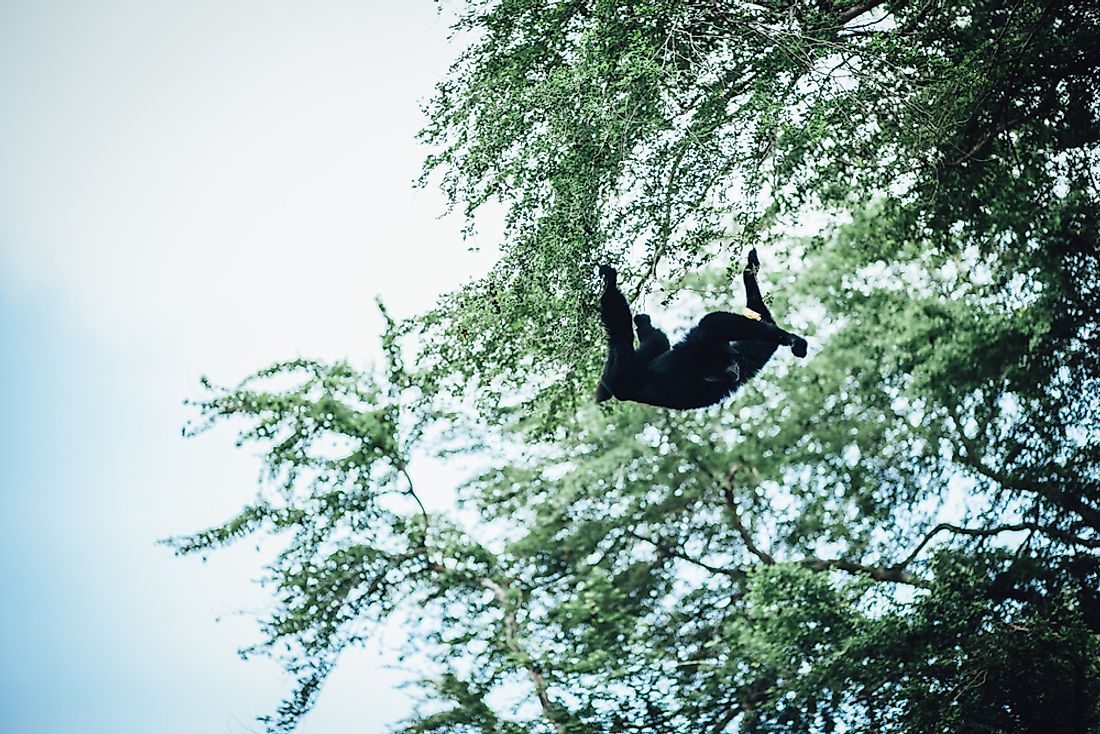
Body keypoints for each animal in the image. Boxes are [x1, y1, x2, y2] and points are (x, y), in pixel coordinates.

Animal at [594, 249, 809, 411]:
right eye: (726, 366)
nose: (734, 369)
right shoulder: (700, 348)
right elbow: (712, 324)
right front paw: (792, 339)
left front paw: (750, 269)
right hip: (619, 375)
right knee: (622, 335)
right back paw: (610, 287)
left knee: (656, 340)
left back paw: (642, 324)